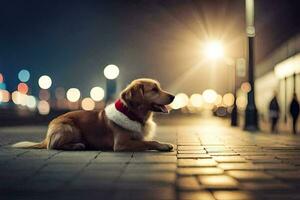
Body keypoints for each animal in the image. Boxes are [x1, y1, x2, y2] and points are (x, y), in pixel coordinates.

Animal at [12, 78, 176, 152]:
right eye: (154, 90)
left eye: (158, 88)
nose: (173, 96)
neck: (132, 114)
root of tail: (46, 136)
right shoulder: (121, 144)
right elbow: (149, 142)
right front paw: (163, 145)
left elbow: (147, 140)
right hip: (70, 127)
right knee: (52, 146)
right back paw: (77, 145)